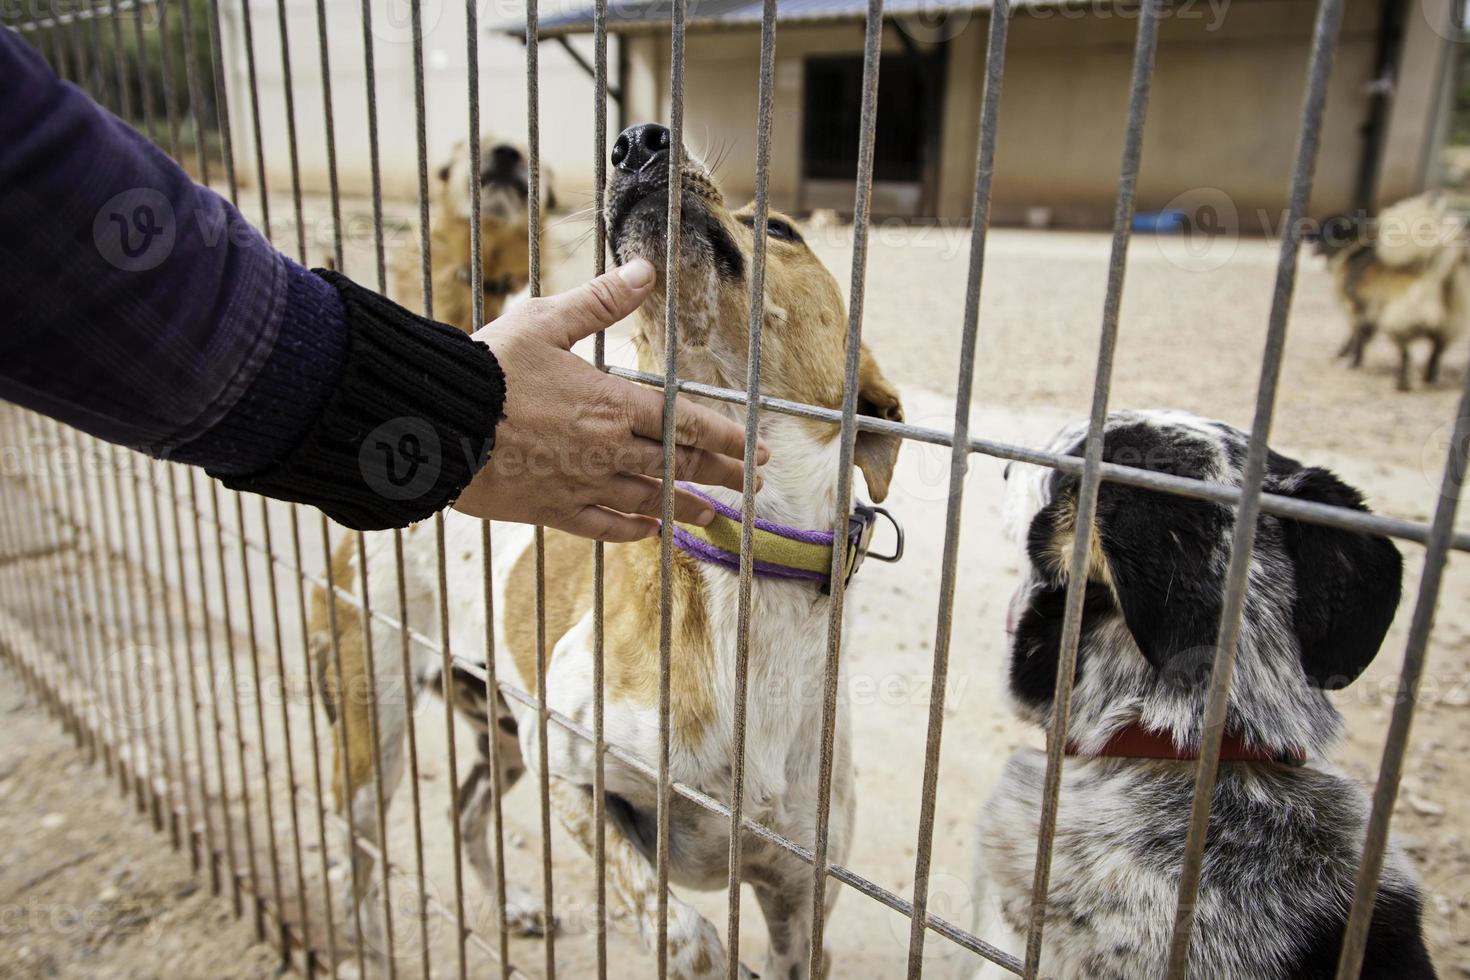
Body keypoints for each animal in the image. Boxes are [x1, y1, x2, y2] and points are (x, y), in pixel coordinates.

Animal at [1323, 191, 1470, 390]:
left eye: (1331, 227)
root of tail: (1434, 276)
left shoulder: (1357, 309)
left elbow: (1358, 338)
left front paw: (1350, 360)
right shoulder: (1368, 311)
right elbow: (1359, 337)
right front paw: (1347, 355)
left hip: (1397, 321)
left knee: (1406, 353)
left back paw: (1402, 383)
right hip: (1446, 328)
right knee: (1435, 354)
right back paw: (1429, 379)